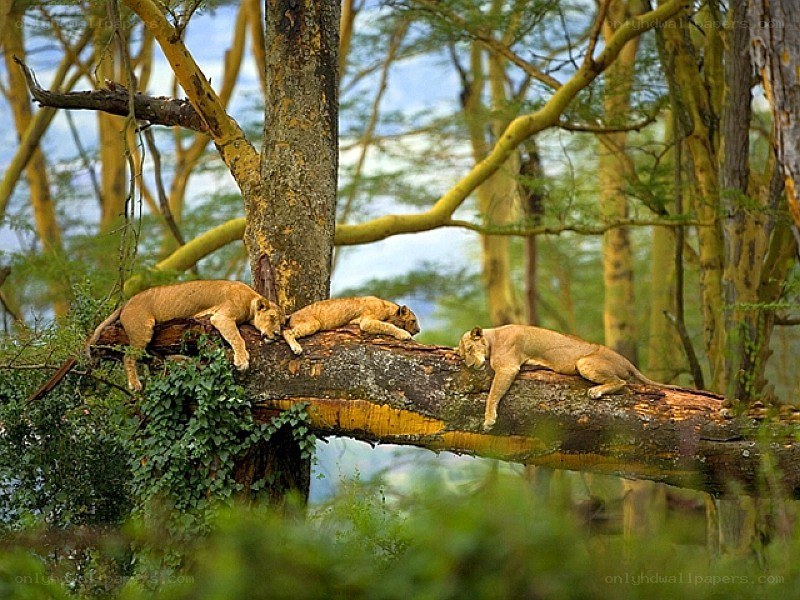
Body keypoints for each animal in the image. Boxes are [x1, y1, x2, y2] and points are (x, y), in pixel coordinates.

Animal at [282, 296, 420, 355]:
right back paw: (296, 348)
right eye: (413, 321)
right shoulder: (366, 321)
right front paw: (404, 334)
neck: (388, 308)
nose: (419, 330)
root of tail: (292, 314)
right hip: (313, 323)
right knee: (286, 332)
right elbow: (388, 326)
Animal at [456, 325, 683, 430]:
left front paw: (489, 419)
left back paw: (596, 391)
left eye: (470, 349)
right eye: (463, 355)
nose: (470, 364)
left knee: (621, 382)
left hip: (584, 363)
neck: (493, 338)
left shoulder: (507, 367)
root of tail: (626, 361)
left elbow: (492, 395)